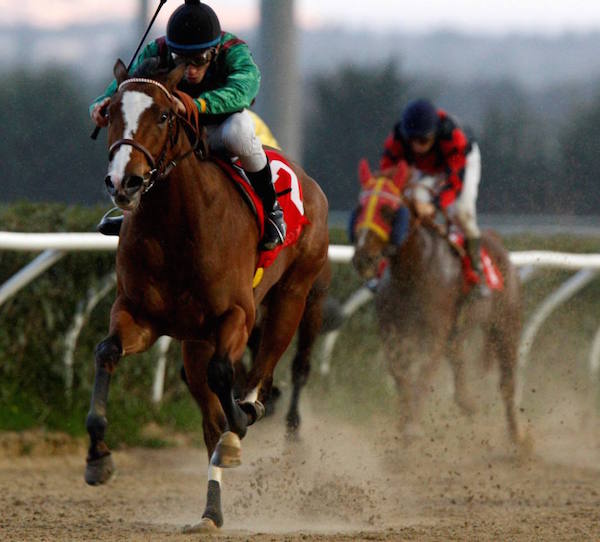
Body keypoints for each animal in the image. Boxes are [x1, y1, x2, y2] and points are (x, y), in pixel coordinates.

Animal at [83, 59, 328, 532]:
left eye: (164, 115)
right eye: (110, 114)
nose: (124, 182)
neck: (176, 227)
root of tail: (308, 181)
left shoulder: (236, 315)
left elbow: (225, 378)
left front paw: (241, 423)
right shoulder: (139, 315)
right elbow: (106, 351)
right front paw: (98, 455)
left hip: (293, 297)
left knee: (260, 371)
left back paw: (248, 417)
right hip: (194, 342)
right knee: (211, 414)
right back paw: (211, 510)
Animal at [352, 160, 524, 450]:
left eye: (387, 210)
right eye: (360, 208)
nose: (363, 258)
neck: (414, 271)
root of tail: (497, 243)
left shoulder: (435, 331)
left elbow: (423, 374)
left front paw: (412, 428)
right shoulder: (393, 331)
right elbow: (400, 373)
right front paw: (403, 424)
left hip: (505, 326)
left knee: (507, 383)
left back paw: (518, 440)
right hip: (459, 331)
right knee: (459, 363)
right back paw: (469, 403)